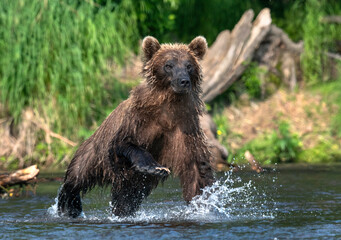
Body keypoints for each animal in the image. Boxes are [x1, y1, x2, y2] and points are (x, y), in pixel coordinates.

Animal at [57, 35, 214, 218]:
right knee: (77, 174)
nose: (184, 81)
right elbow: (125, 143)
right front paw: (156, 167)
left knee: (126, 198)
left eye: (189, 65)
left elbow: (196, 167)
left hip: (133, 183)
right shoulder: (138, 121)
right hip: (95, 153)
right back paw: (68, 204)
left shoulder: (185, 127)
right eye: (168, 65)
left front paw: (202, 202)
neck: (168, 107)